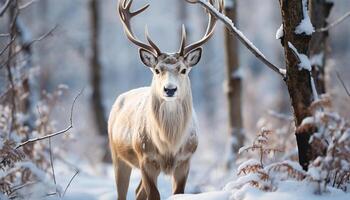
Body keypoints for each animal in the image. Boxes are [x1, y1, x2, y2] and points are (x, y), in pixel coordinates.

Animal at [108, 0, 224, 200]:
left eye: (183, 70)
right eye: (157, 70)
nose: (169, 89)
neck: (169, 145)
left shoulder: (185, 160)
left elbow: (177, 193)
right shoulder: (146, 158)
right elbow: (154, 195)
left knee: (138, 191)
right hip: (117, 154)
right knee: (123, 192)